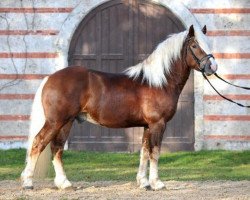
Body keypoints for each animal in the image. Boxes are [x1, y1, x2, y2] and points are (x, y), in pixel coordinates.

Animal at [21, 25, 217, 191]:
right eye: (194, 45)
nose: (212, 67)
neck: (158, 82)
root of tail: (50, 78)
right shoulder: (158, 124)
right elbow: (155, 152)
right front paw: (157, 183)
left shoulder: (147, 126)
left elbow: (144, 152)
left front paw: (143, 183)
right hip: (56, 121)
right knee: (38, 143)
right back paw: (28, 183)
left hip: (66, 122)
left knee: (57, 148)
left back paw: (64, 183)